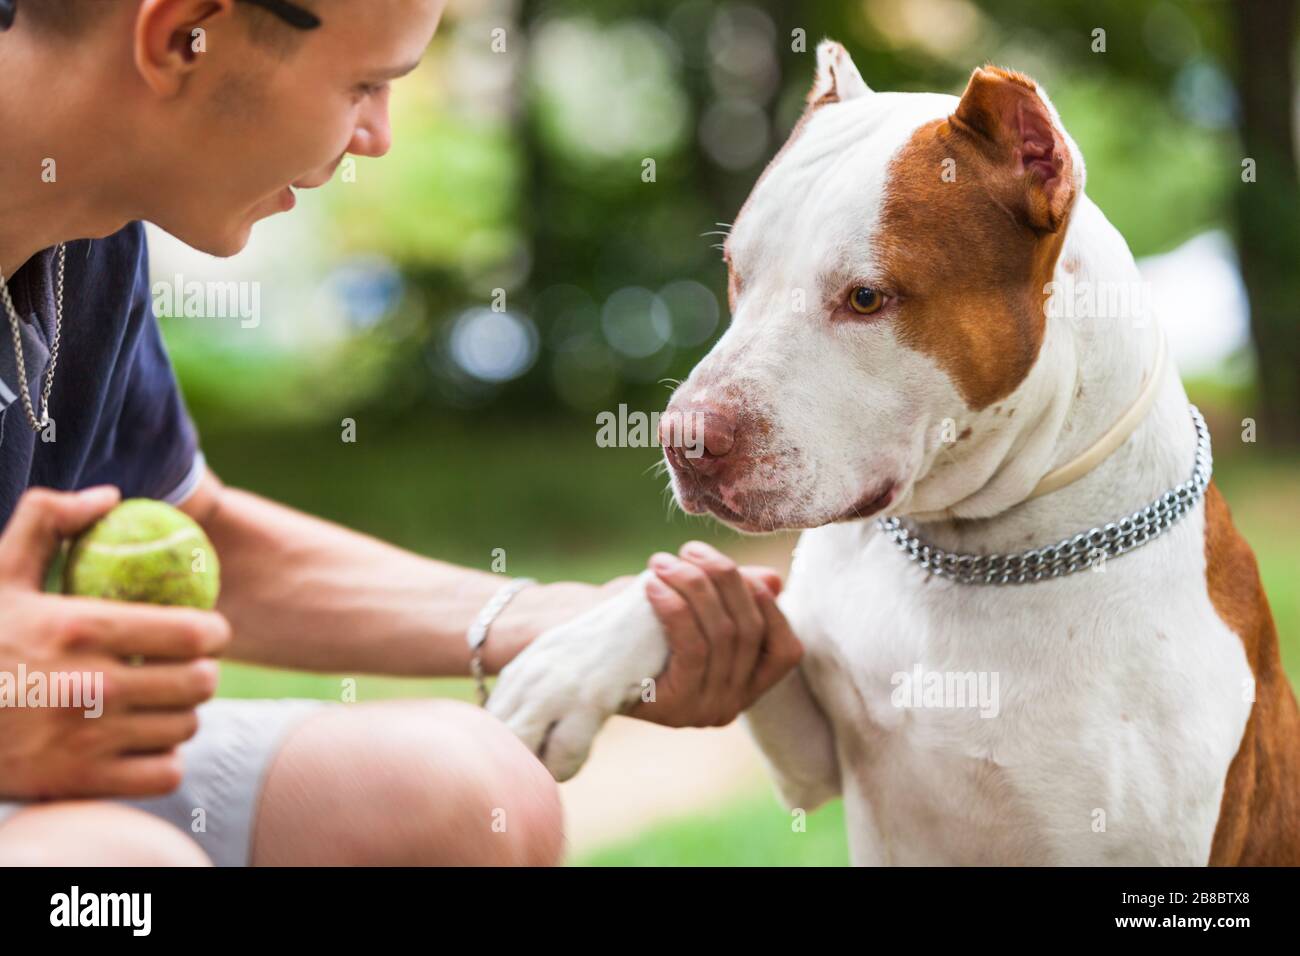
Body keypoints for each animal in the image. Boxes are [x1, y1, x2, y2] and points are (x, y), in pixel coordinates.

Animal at [488, 42, 1300, 868]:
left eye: (866, 298)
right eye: (737, 274)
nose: (684, 439)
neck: (975, 555)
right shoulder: (810, 753)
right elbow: (733, 597)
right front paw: (568, 667)